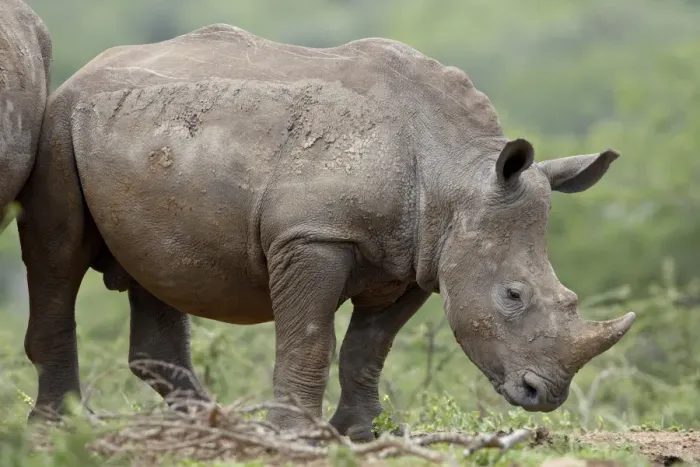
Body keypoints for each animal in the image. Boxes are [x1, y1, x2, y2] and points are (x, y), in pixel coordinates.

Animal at [19, 24, 635, 441]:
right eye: (513, 296)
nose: (545, 394)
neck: (455, 177)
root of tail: (86, 70)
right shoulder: (313, 236)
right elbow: (311, 338)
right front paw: (296, 436)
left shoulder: (417, 258)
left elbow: (368, 347)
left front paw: (363, 434)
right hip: (60, 123)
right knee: (56, 257)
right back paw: (60, 426)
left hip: (145, 136)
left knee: (158, 268)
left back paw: (207, 423)